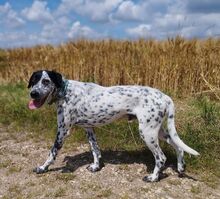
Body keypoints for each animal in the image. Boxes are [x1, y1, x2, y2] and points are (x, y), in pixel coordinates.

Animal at [27, 70, 199, 182]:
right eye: (33, 81)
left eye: (46, 81)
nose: (33, 94)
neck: (65, 90)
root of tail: (164, 96)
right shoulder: (89, 129)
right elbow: (95, 150)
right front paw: (96, 167)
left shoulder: (62, 131)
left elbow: (52, 153)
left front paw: (43, 168)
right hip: (158, 131)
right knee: (178, 147)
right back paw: (181, 167)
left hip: (147, 133)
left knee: (161, 157)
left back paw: (153, 177)